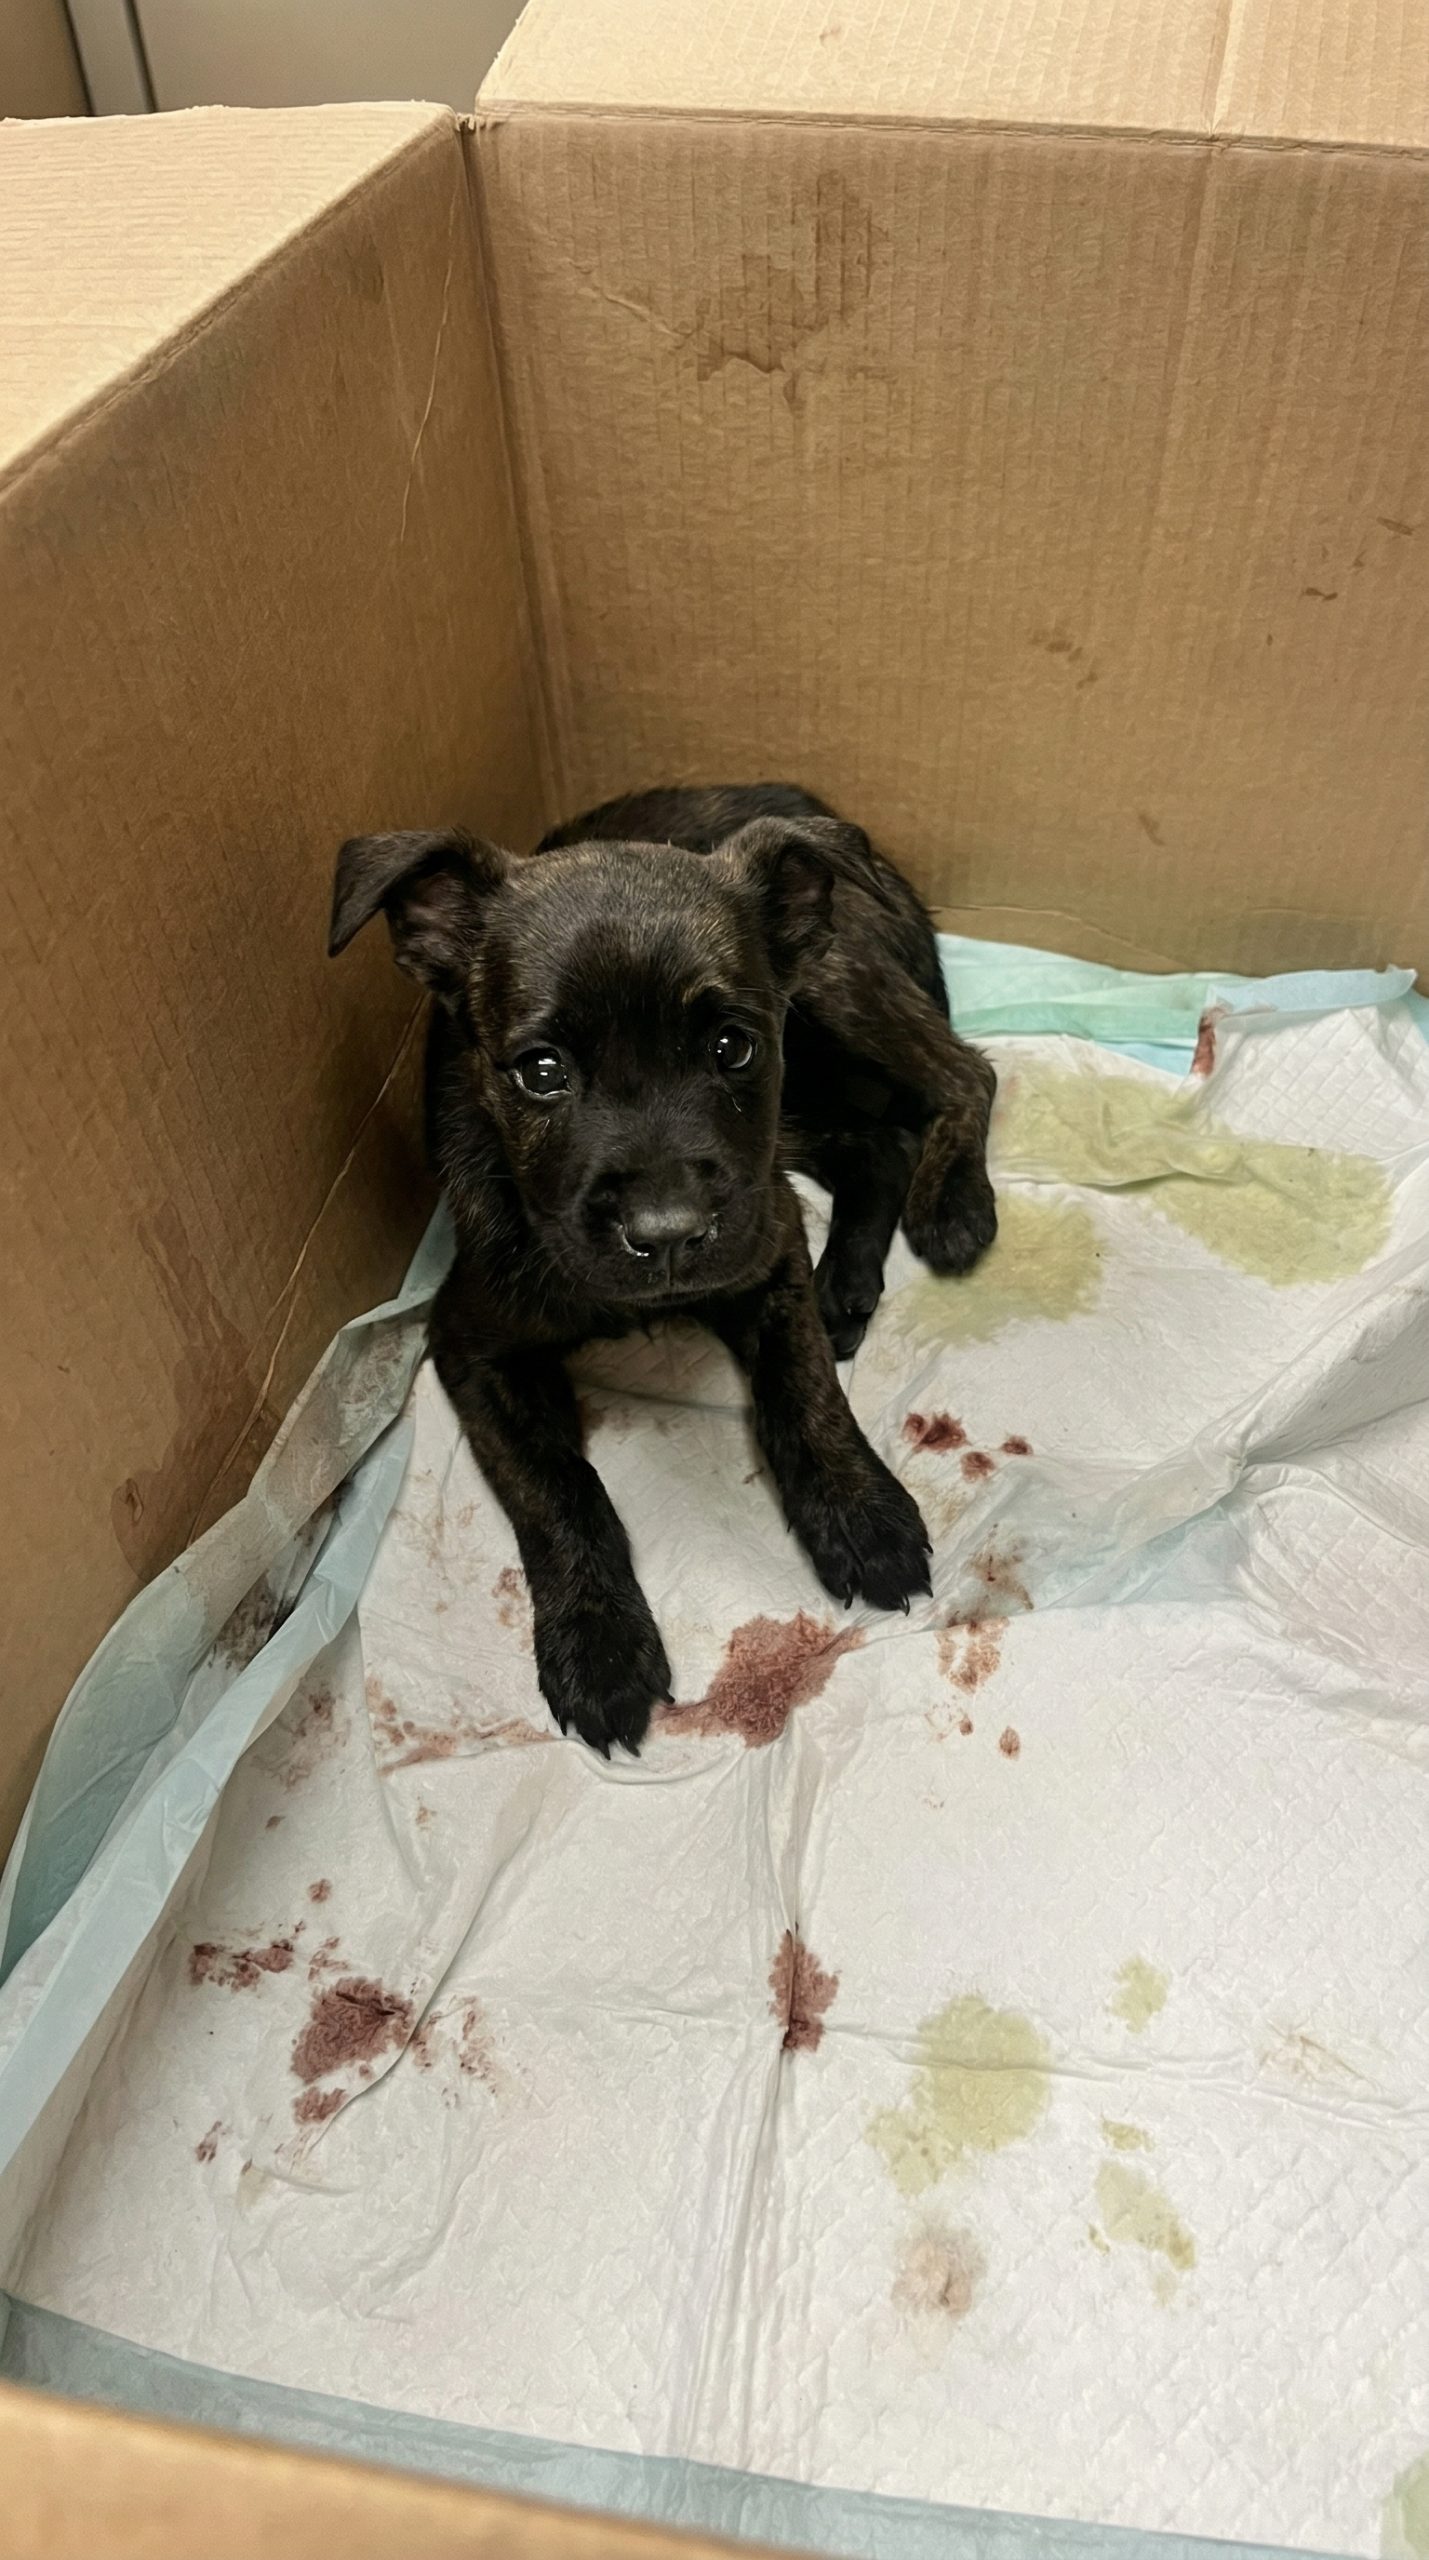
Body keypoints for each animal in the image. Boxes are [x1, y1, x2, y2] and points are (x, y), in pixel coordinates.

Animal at [329, 785, 996, 1755]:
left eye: (732, 1046)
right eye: (539, 1071)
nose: (671, 1237)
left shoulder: (762, 1242)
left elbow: (802, 1391)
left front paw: (856, 1509)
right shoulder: (471, 1344)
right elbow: (558, 1487)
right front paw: (598, 1641)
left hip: (830, 993)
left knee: (965, 1074)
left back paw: (951, 1205)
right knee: (877, 1141)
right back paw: (844, 1288)